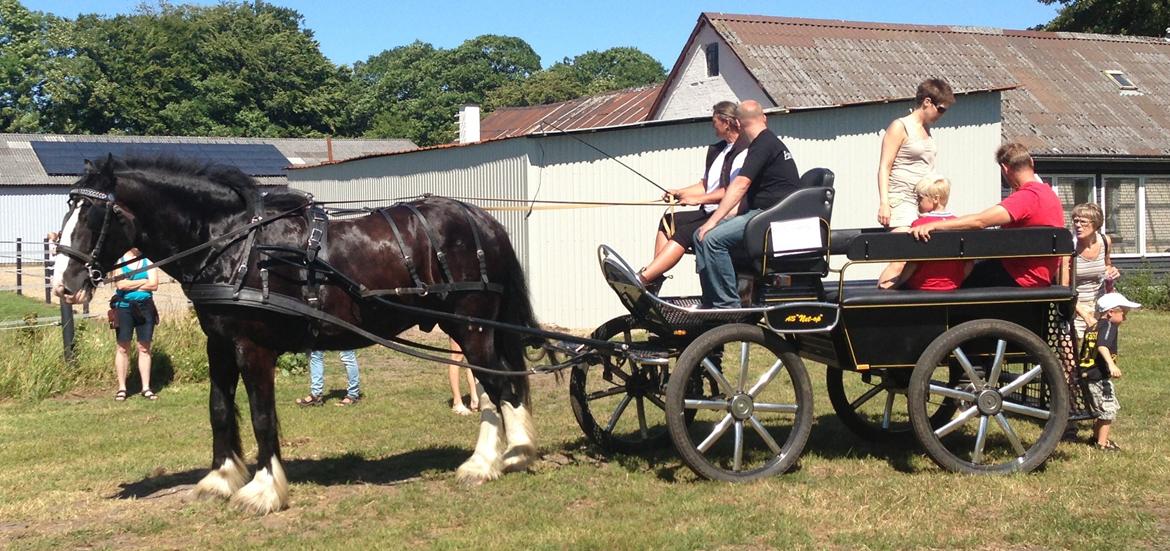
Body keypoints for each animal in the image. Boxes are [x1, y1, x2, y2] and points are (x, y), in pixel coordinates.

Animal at [47, 157, 535, 514]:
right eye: (68, 208)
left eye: (93, 214)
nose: (64, 285)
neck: (232, 245)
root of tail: (481, 219)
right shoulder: (218, 343)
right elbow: (219, 410)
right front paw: (219, 478)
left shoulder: (253, 347)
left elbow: (262, 416)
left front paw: (263, 490)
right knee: (496, 388)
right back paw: (497, 458)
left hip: (472, 327)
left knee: (499, 387)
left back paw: (506, 456)